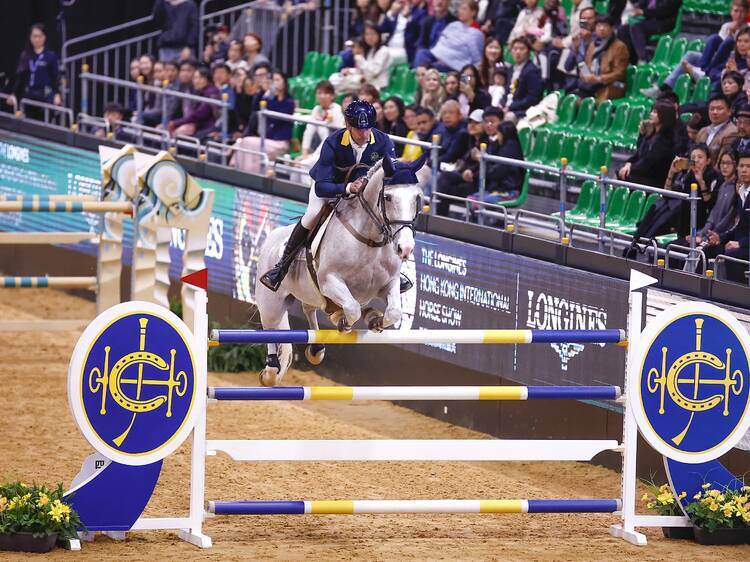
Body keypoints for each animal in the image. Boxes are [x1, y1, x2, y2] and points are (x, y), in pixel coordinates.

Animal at [254, 155, 426, 386]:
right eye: (388, 197)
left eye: (417, 198)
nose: (405, 249)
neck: (370, 239)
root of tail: (272, 237)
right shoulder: (330, 281)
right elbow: (352, 309)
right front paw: (344, 321)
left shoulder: (389, 284)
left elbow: (393, 312)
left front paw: (374, 319)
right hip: (272, 300)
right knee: (271, 327)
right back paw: (271, 371)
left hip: (309, 293)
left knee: (310, 308)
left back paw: (317, 348)